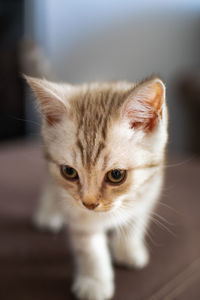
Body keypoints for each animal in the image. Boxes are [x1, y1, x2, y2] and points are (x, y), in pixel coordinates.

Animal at [25, 75, 168, 300]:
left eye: (116, 175)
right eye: (69, 171)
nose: (89, 203)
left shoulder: (149, 190)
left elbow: (135, 222)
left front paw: (128, 249)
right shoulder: (78, 213)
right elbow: (90, 248)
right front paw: (95, 281)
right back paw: (48, 213)